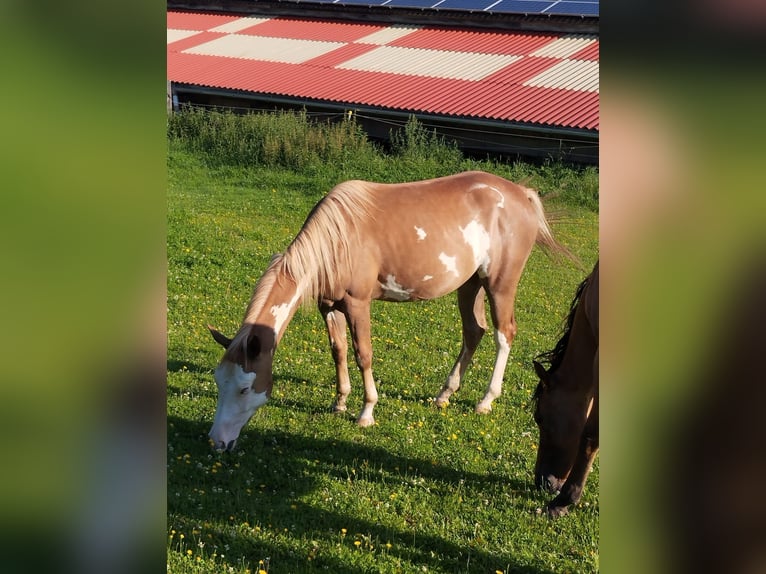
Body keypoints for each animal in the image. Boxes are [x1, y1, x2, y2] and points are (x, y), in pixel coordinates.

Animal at [206, 170, 572, 452]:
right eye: (218, 381)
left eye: (244, 388)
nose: (217, 442)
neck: (338, 238)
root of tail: (522, 194)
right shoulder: (330, 307)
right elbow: (338, 351)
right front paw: (340, 401)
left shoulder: (357, 304)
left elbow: (362, 354)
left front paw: (366, 412)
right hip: (470, 285)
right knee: (474, 331)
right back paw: (444, 394)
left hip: (499, 284)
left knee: (503, 334)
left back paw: (486, 401)